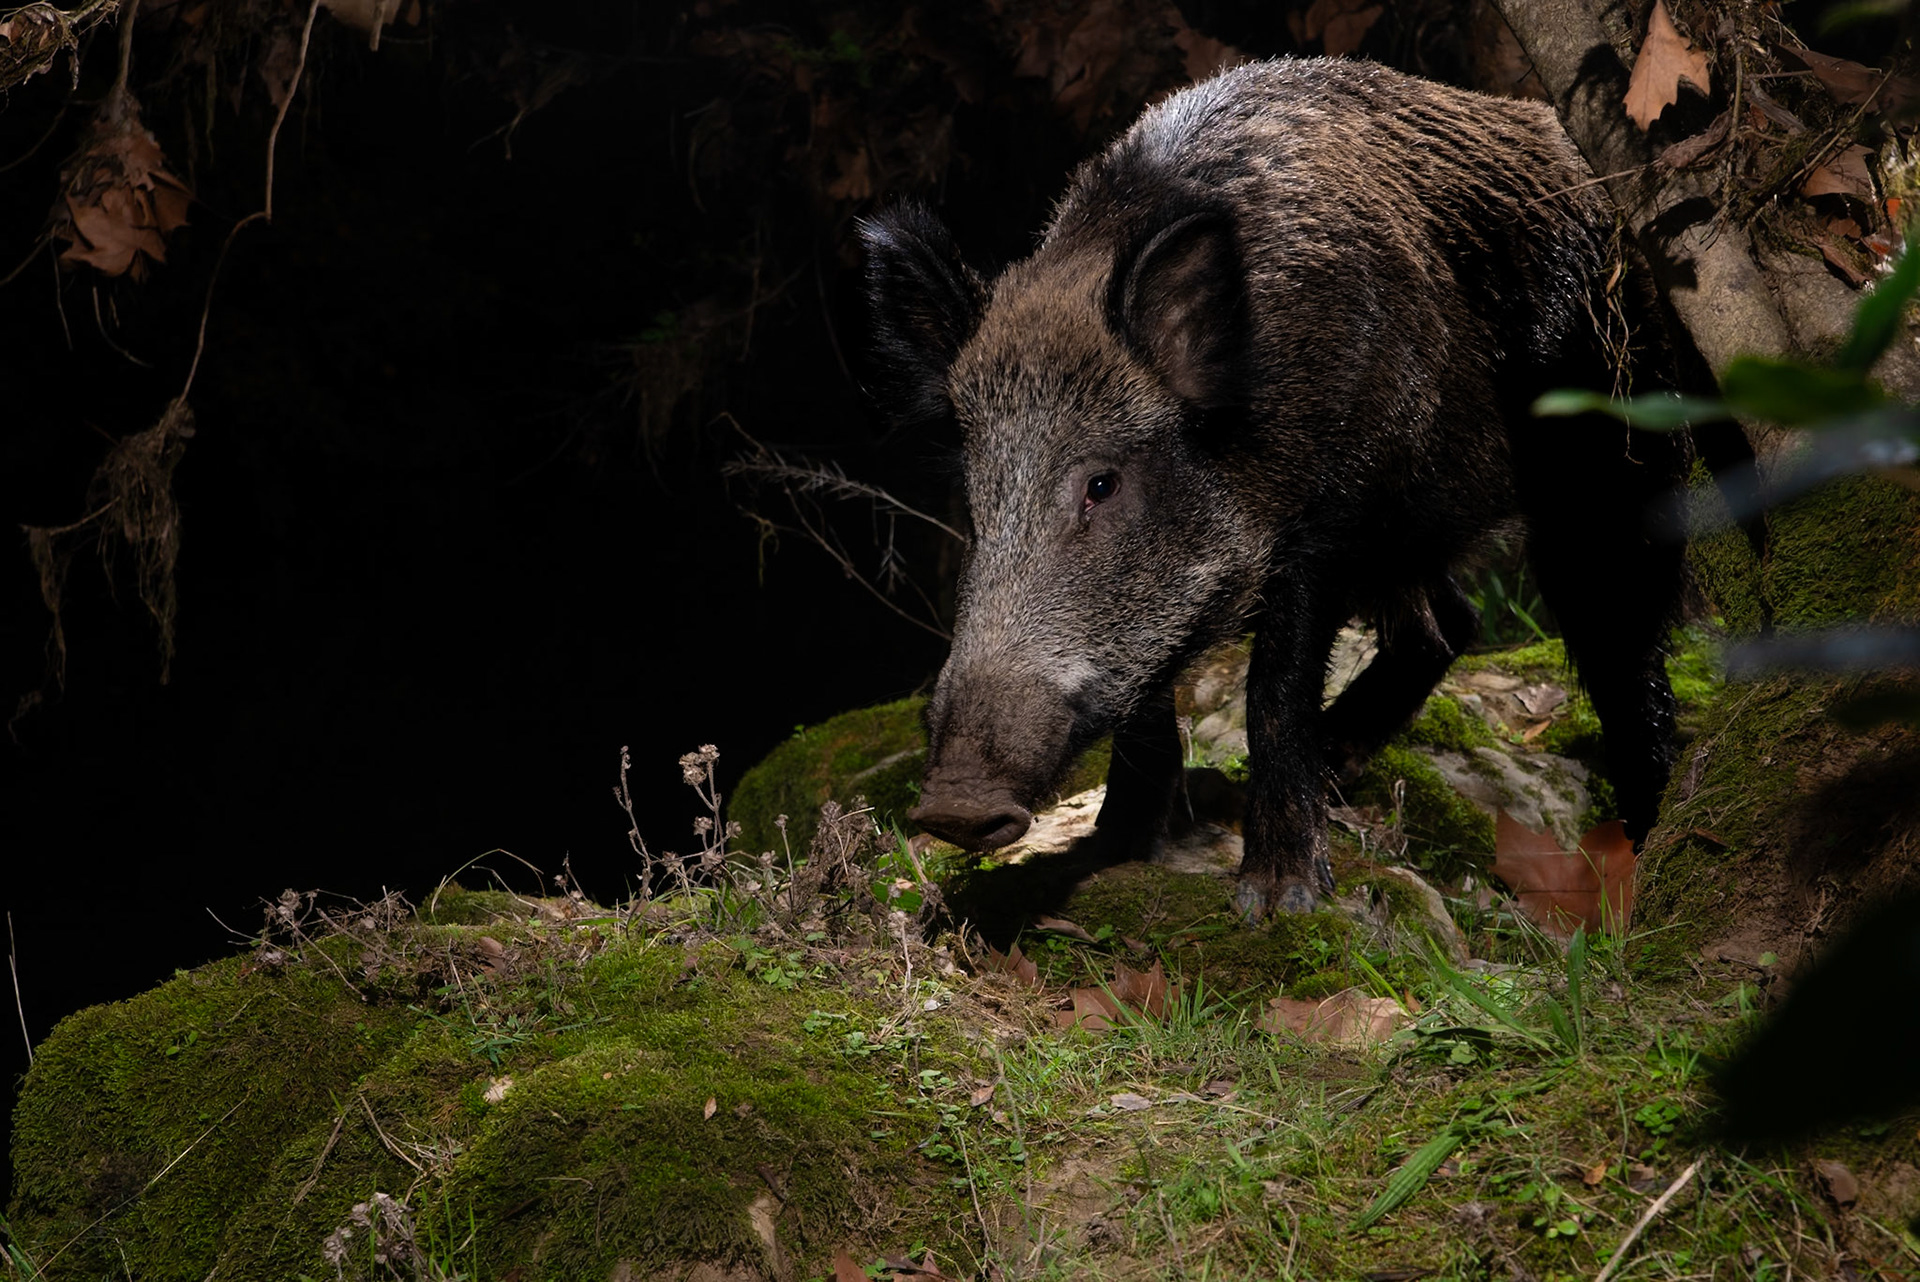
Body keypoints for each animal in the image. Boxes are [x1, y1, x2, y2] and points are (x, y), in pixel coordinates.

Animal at [863, 58, 1696, 916]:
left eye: (1101, 484)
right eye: (977, 496)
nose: (953, 805)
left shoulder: (1328, 514)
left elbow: (1275, 687)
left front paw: (1278, 899)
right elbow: (1149, 698)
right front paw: (1114, 849)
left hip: (1615, 427)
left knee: (1620, 629)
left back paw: (1651, 835)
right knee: (1448, 624)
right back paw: (1339, 764)